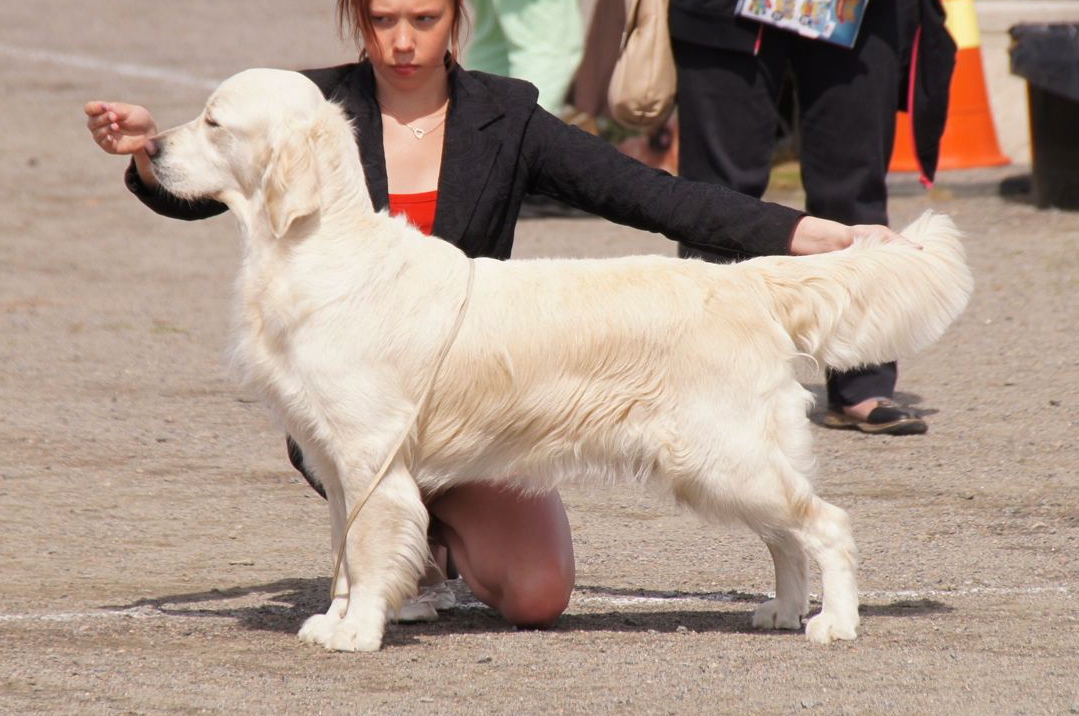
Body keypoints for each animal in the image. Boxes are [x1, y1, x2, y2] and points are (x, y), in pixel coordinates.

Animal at [148, 68, 973, 652]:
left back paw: (833, 622)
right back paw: (780, 610)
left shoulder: (369, 455)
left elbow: (371, 546)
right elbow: (344, 549)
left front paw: (359, 632)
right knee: (785, 535)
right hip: (721, 463)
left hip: (723, 454)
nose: (148, 148)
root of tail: (744, 278)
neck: (317, 248)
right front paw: (338, 617)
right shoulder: (332, 456)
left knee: (824, 523)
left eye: (214, 121)